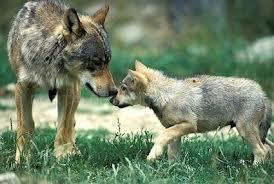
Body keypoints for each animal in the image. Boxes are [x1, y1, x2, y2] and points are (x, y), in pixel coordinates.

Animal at [8, 0, 117, 163]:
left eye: (108, 62)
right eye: (97, 62)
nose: (114, 91)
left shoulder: (67, 87)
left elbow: (63, 126)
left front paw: (63, 156)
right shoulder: (23, 87)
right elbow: (24, 127)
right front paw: (22, 159)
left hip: (75, 91)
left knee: (72, 122)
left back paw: (74, 150)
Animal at [110, 60, 272, 165]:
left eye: (123, 88)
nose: (111, 99)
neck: (165, 95)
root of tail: (262, 93)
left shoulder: (188, 125)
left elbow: (162, 137)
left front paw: (153, 155)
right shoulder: (174, 130)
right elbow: (172, 153)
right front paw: (172, 169)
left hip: (245, 131)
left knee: (262, 151)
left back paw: (254, 169)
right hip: (252, 132)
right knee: (269, 148)